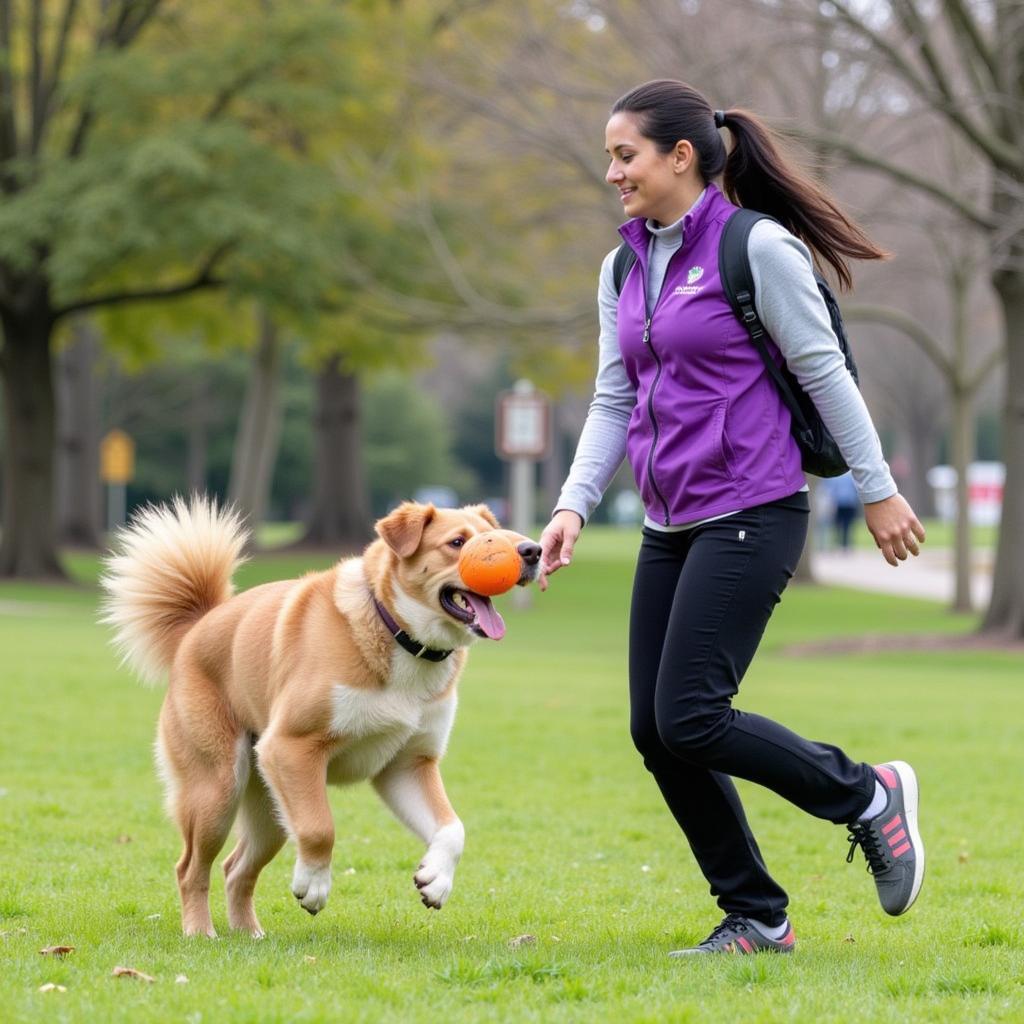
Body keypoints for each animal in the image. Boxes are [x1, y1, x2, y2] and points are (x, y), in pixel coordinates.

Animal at [99, 495, 540, 937]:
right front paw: (313, 884)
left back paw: (249, 935)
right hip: (218, 789)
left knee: (235, 868)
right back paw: (200, 932)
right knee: (190, 867)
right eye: (457, 542)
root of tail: (197, 627)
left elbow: (452, 828)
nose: (532, 551)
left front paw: (436, 880)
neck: (396, 632)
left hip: (271, 809)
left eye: (496, 534)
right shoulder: (291, 747)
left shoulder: (408, 764)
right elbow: (319, 828)